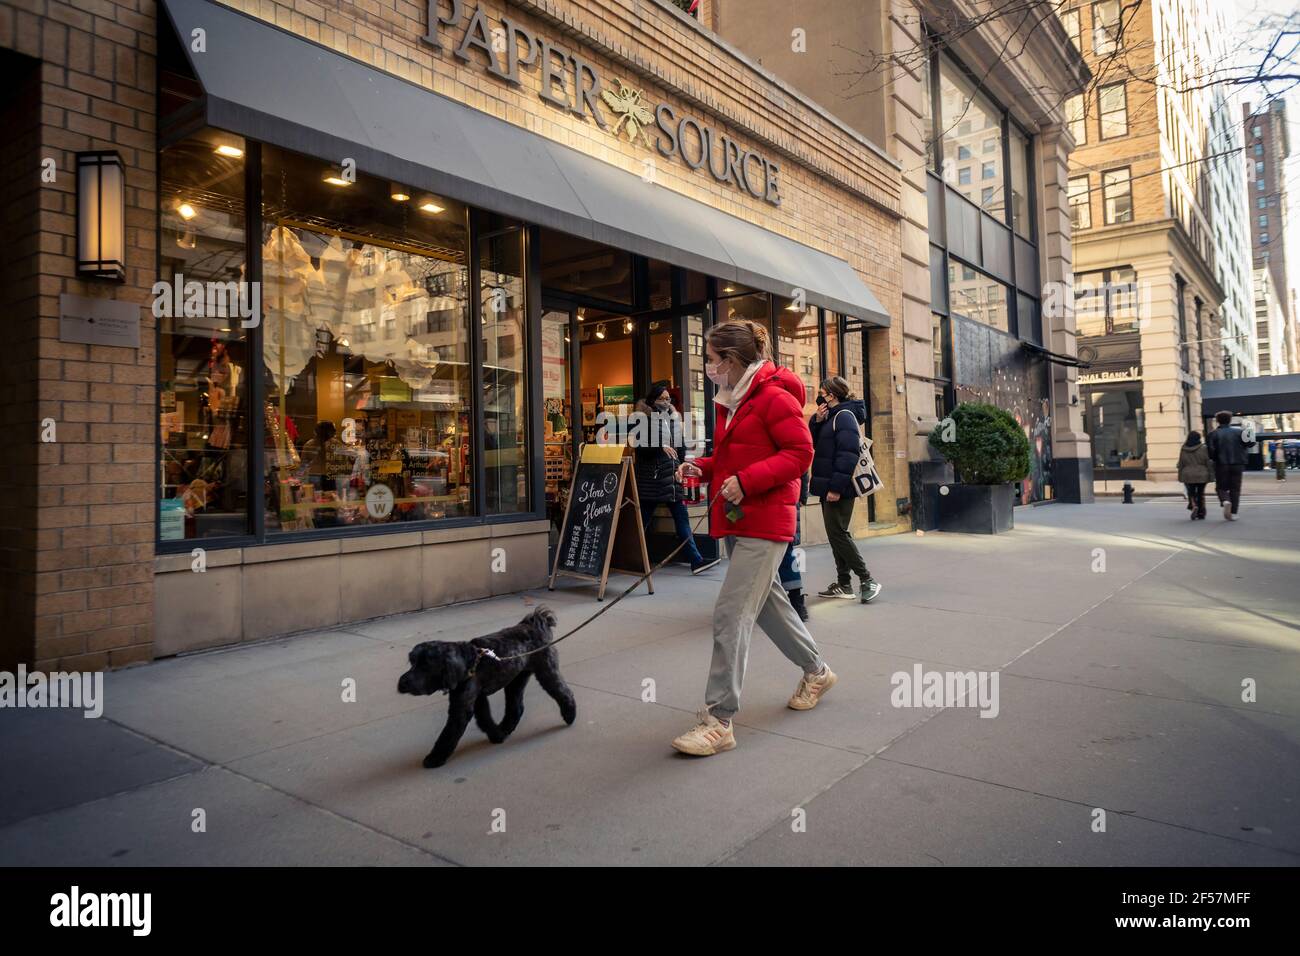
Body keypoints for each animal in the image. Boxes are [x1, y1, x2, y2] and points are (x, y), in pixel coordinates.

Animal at [397, 606, 577, 770]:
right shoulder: (477, 699)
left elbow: (449, 733)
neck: (467, 663)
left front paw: (435, 758)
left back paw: (570, 715)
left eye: (426, 666)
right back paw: (506, 728)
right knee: (516, 707)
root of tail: (535, 624)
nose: (401, 683)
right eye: (412, 662)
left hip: (546, 671)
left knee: (564, 692)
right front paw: (497, 735)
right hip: (515, 680)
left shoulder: (462, 707)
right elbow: (485, 719)